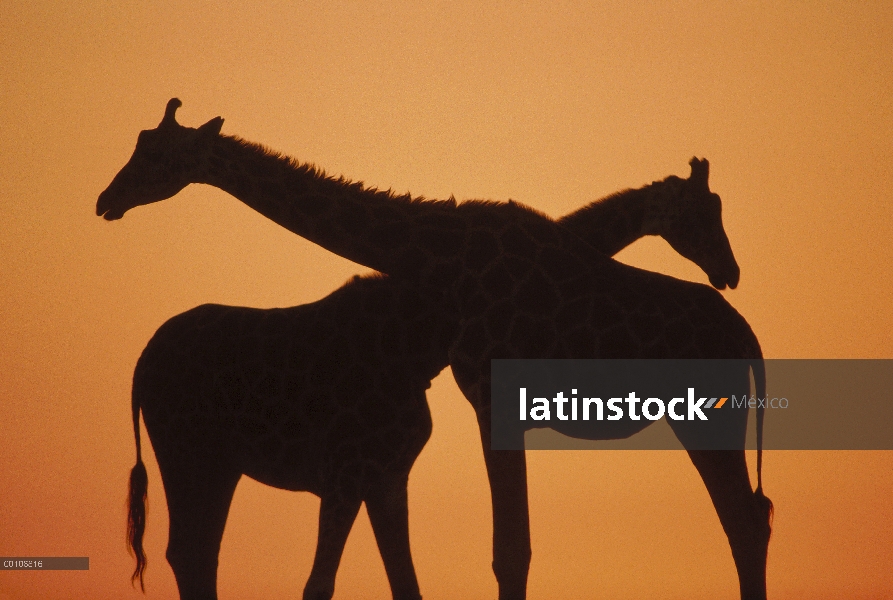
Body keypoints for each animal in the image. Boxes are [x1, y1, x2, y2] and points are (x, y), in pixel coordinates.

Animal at [96, 99, 768, 600]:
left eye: (156, 154)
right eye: (140, 145)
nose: (107, 200)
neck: (444, 258)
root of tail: (751, 342)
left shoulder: (488, 395)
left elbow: (510, 550)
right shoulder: (469, 409)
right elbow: (504, 550)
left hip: (709, 421)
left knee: (746, 520)